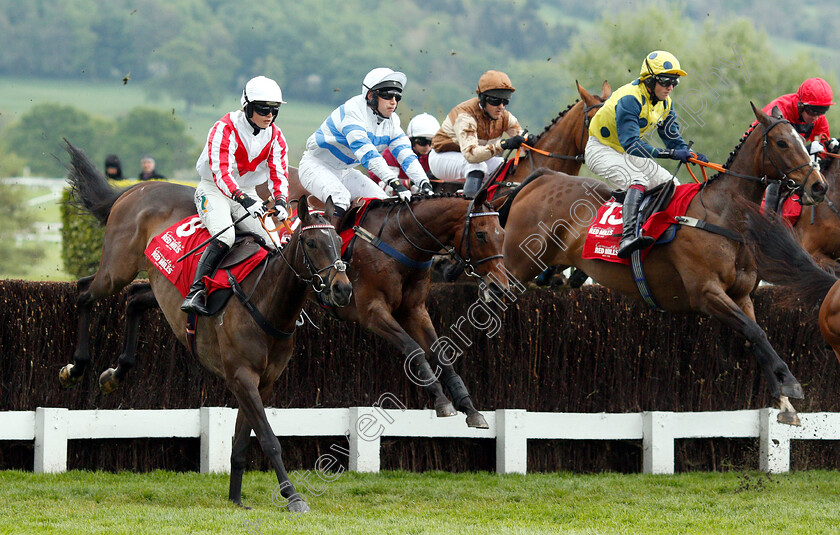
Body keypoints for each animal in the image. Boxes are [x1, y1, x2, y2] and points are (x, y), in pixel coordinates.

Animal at [56, 142, 352, 516]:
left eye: (339, 243)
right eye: (312, 244)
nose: (342, 289)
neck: (266, 303)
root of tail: (136, 188)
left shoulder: (263, 382)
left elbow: (243, 441)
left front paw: (236, 497)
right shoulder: (241, 376)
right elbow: (269, 440)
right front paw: (293, 496)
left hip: (161, 287)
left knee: (135, 300)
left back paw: (115, 373)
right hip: (117, 268)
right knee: (83, 292)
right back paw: (75, 367)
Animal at [498, 104, 828, 426]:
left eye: (803, 141)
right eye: (783, 143)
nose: (819, 186)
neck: (720, 215)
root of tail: (541, 176)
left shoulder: (742, 295)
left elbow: (756, 335)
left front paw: (784, 401)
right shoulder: (706, 293)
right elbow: (755, 332)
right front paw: (790, 385)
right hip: (516, 266)